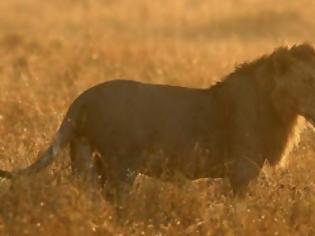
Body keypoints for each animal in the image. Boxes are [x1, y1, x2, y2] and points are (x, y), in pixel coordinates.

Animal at [0, 42, 315, 195]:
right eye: (309, 80)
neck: (280, 110)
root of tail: (81, 99)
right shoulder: (242, 171)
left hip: (83, 157)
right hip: (121, 166)